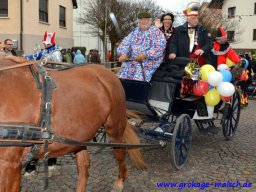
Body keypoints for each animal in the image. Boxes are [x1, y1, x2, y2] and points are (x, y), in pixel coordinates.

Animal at [0, 56, 145, 192]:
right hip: (79, 135)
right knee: (84, 164)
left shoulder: (10, 165)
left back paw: (120, 181)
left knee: (120, 153)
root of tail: (108, 72)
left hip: (114, 127)